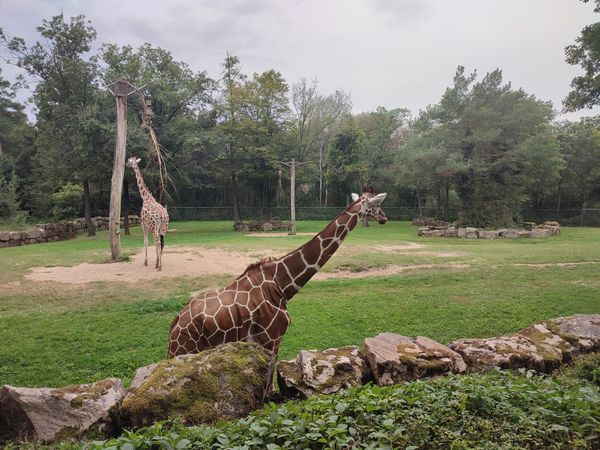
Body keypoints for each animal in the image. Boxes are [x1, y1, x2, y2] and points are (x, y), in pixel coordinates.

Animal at [166, 188, 386, 360]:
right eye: (376, 205)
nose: (384, 218)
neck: (281, 283)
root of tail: (174, 324)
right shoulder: (272, 338)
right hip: (185, 349)